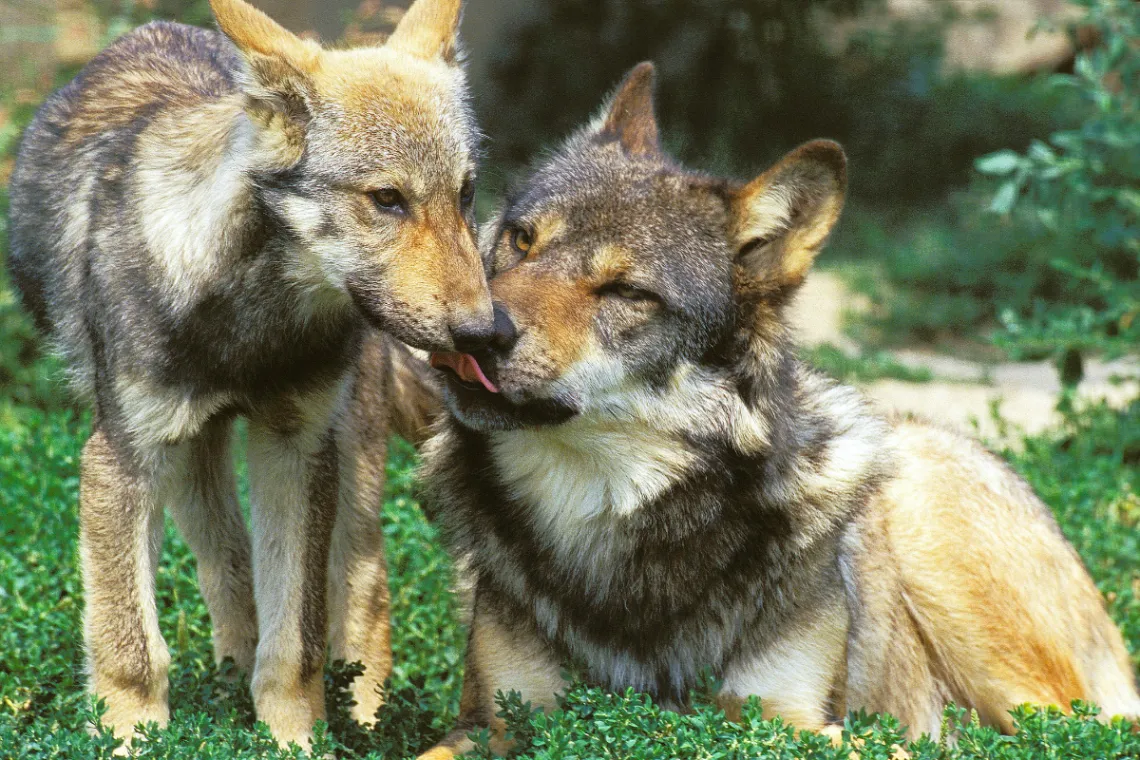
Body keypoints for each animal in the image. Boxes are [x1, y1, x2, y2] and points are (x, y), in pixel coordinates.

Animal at [6, 0, 485, 749]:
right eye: (387, 200)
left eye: (465, 195)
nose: (488, 332)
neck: (248, 325)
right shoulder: (121, 458)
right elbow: (130, 643)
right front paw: (133, 739)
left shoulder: (297, 449)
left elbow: (297, 642)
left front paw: (299, 743)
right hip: (189, 463)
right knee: (226, 565)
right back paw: (229, 680)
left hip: (346, 455)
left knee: (365, 589)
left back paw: (365, 718)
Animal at [416, 62, 1140, 758]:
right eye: (520, 240)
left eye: (627, 292)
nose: (475, 336)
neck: (612, 524)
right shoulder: (491, 724)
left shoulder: (792, 721)